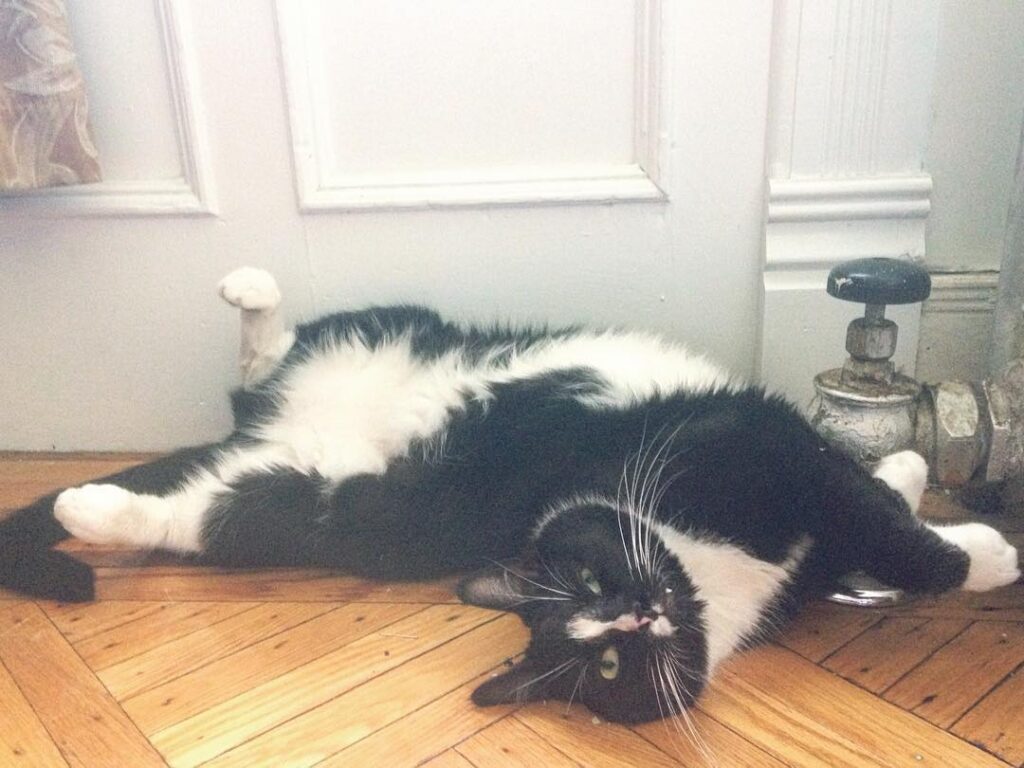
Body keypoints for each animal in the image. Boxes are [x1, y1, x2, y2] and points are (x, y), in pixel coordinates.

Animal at [0, 267, 1018, 728]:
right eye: (590, 601)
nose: (639, 613)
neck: (707, 569)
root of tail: (271, 429)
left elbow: (865, 510)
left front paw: (909, 472)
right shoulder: (764, 450)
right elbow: (881, 526)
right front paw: (988, 553)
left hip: (338, 413)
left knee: (255, 388)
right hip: (316, 477)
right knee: (200, 496)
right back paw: (87, 504)